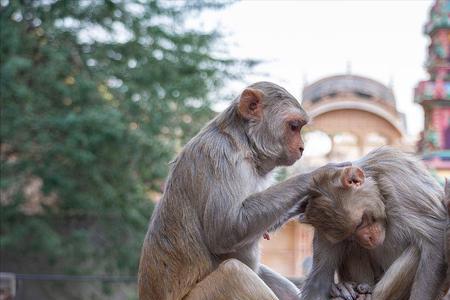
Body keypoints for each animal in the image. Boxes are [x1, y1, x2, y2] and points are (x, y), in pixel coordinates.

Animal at [137, 82, 344, 300]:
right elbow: (225, 229)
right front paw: (319, 176)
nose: (302, 148)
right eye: (294, 126)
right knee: (234, 274)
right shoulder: (220, 155)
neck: (244, 143)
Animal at [298, 147, 448, 300]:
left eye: (360, 223)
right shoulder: (322, 230)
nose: (366, 239)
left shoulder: (401, 189)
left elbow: (435, 236)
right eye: (349, 236)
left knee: (417, 249)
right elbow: (319, 279)